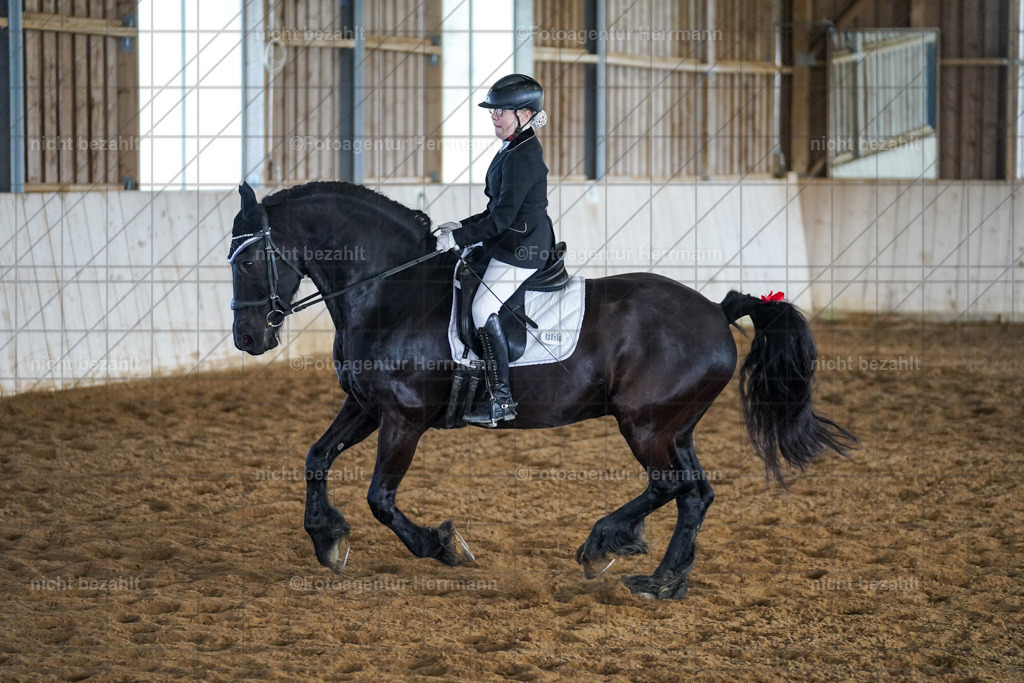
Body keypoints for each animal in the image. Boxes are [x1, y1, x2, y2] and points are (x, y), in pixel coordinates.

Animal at [228, 180, 857, 600]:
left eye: (251, 258)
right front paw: (326, 539)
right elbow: (315, 458)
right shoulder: (365, 406)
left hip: (646, 424)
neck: (390, 292)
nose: (248, 338)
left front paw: (442, 545)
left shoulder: (403, 418)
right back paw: (660, 580)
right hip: (675, 427)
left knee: (670, 485)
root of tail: (717, 312)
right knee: (694, 494)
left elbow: (381, 499)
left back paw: (606, 546)